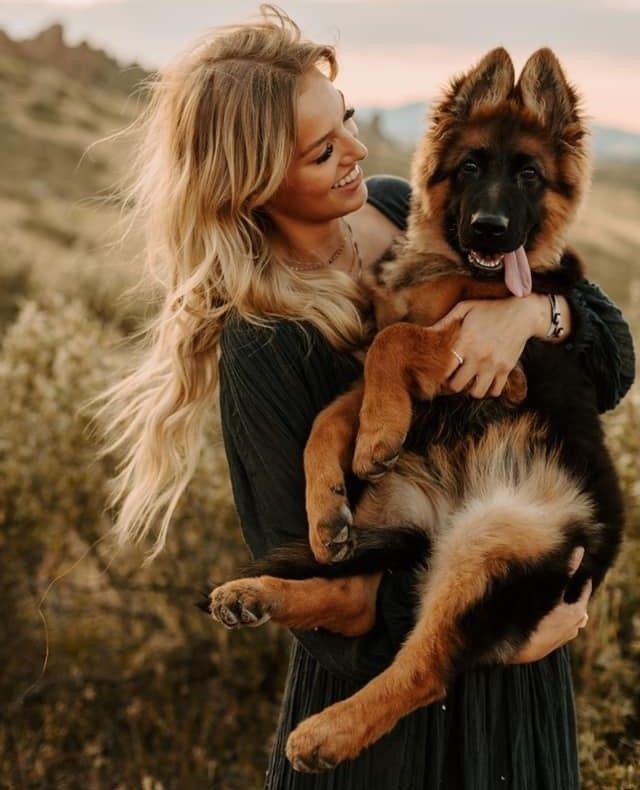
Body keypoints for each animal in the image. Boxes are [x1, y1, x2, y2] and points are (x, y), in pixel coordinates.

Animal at [206, 48, 624, 772]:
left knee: (424, 667)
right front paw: (329, 494)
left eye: (529, 175)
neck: (452, 266)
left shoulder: (502, 367)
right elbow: (335, 411)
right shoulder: (407, 376)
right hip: (394, 501)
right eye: (471, 167)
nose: (490, 230)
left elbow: (393, 345)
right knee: (356, 597)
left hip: (497, 538)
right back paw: (258, 593)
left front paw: (375, 432)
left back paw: (327, 732)